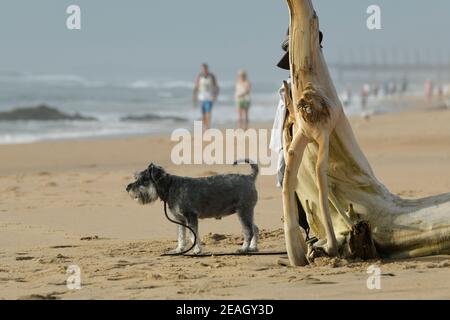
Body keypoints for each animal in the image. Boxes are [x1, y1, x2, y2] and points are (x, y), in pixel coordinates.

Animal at [126, 161, 260, 254]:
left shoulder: (191, 216)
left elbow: (193, 234)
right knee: (255, 228)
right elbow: (181, 235)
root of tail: (249, 177)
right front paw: (179, 249)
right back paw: (253, 247)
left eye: (143, 179)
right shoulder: (180, 219)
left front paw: (197, 250)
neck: (170, 186)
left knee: (248, 231)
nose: (127, 188)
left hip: (243, 211)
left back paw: (243, 249)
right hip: (248, 212)